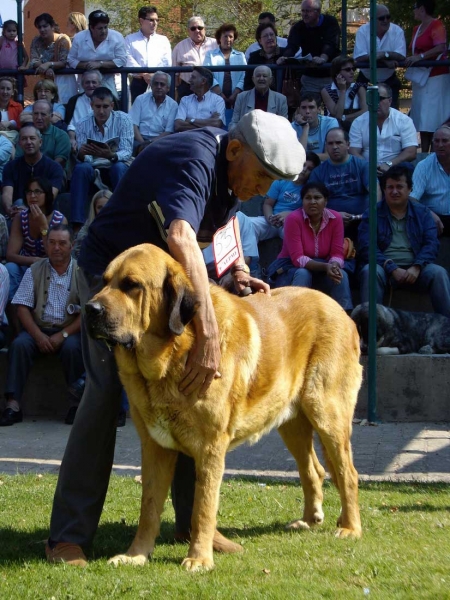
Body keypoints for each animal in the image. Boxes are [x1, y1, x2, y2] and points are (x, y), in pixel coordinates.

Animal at [85, 244, 362, 572]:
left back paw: (351, 528)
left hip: (327, 413)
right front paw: (136, 555)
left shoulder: (210, 448)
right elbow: (149, 508)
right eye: (105, 281)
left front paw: (198, 558)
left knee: (347, 473)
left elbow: (202, 508)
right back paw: (309, 520)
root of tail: (343, 313)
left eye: (131, 285)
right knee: (314, 470)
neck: (173, 354)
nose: (89, 309)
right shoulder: (154, 447)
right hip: (292, 424)